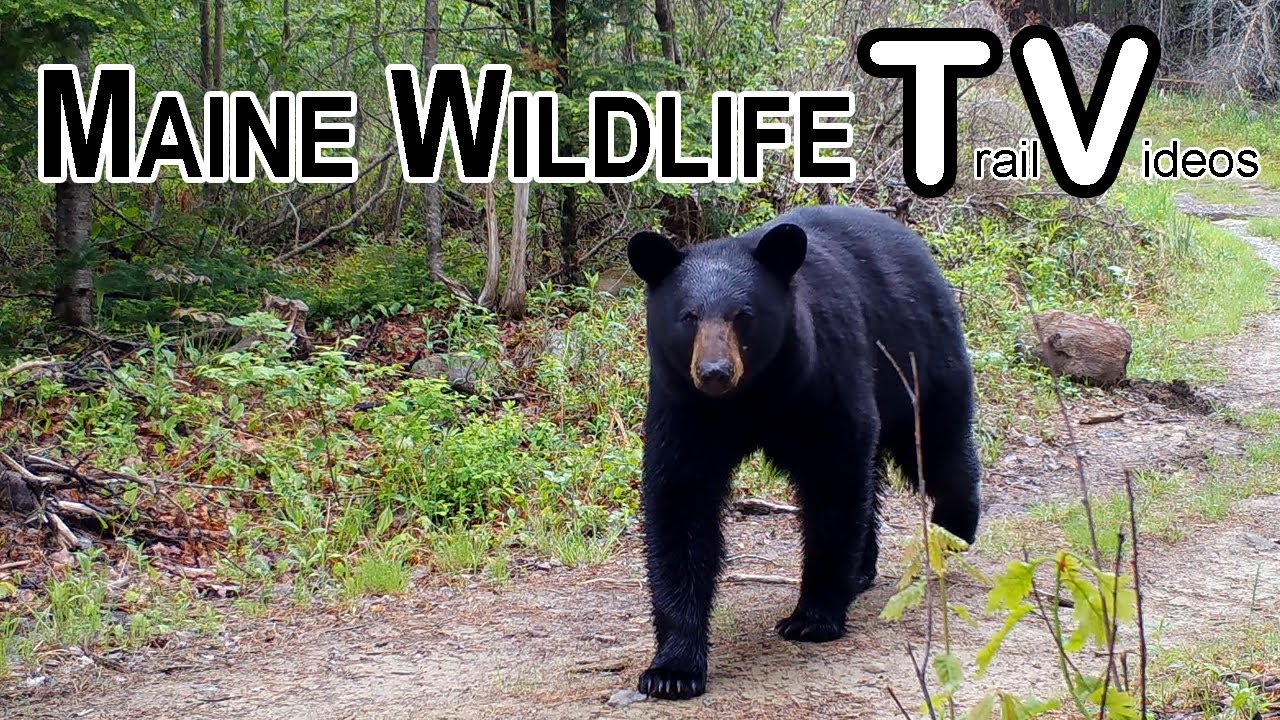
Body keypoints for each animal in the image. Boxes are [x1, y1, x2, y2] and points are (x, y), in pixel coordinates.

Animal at [627, 205, 981, 700]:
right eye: (689, 316)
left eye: (743, 314)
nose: (715, 372)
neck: (752, 397)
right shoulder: (685, 406)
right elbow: (681, 503)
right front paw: (672, 669)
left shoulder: (823, 378)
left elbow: (833, 483)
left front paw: (812, 618)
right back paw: (862, 569)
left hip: (919, 354)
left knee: (937, 445)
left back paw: (953, 530)